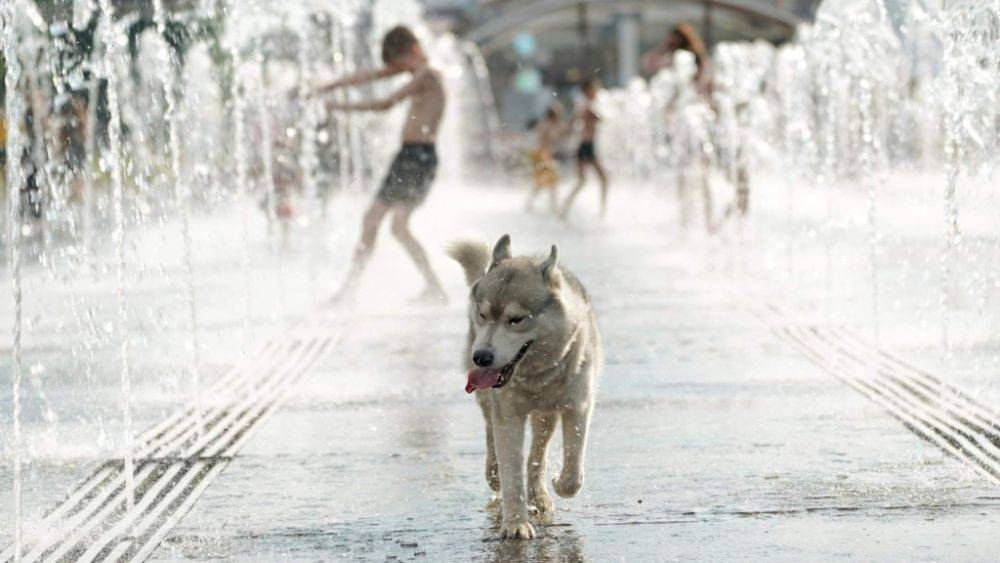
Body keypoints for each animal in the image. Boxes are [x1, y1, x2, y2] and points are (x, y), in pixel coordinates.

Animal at [452, 235, 600, 540]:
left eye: (516, 319)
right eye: (482, 314)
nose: (481, 357)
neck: (537, 375)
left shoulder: (578, 407)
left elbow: (573, 470)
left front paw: (559, 484)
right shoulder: (508, 415)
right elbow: (511, 472)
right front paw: (515, 524)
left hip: (547, 415)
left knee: (537, 454)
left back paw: (540, 494)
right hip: (489, 402)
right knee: (491, 435)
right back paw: (494, 472)